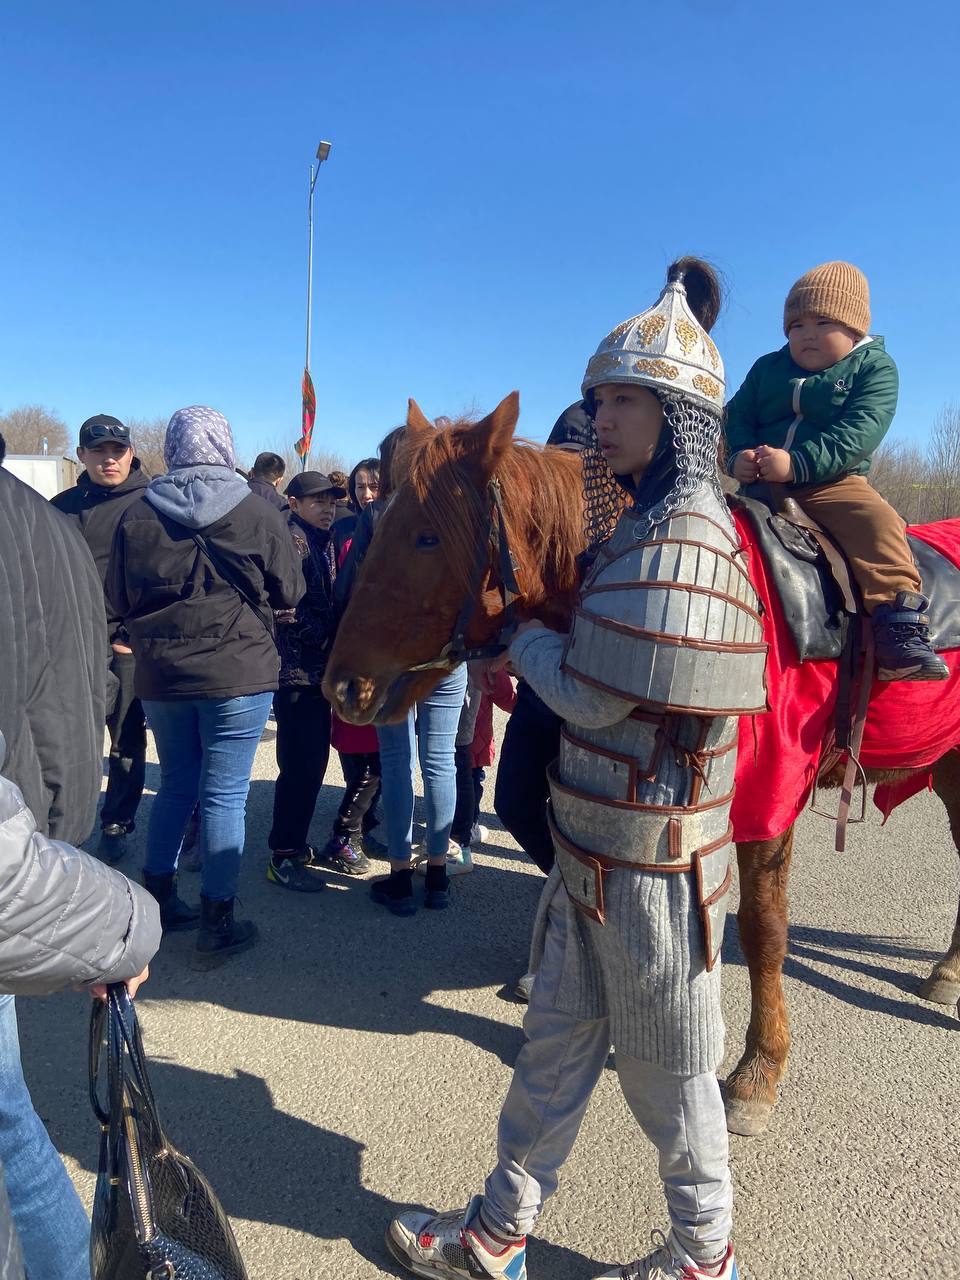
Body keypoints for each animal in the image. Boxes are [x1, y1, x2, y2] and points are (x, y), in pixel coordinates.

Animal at [325, 394, 960, 1136]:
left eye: (425, 538)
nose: (342, 687)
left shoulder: (770, 797)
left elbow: (764, 929)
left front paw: (757, 1071)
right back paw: (948, 971)